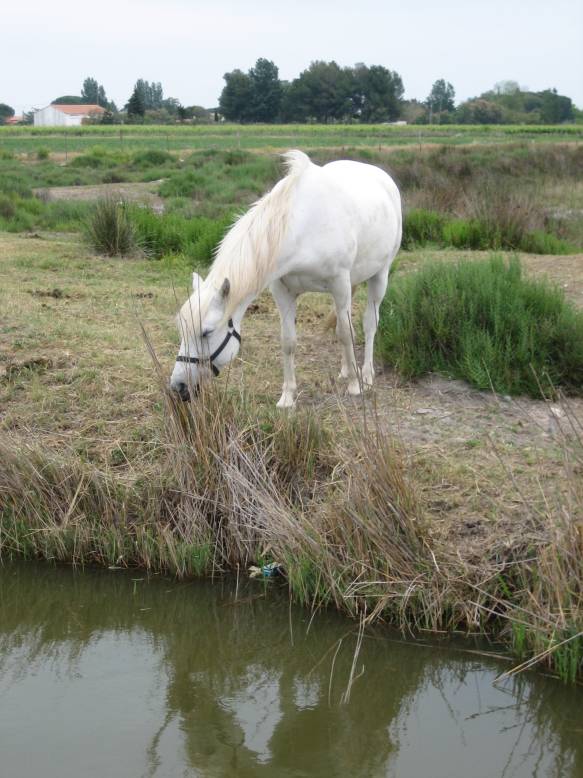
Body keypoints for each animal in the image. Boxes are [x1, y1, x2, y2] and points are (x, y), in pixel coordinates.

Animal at [169, 149, 402, 410]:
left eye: (206, 333)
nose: (178, 386)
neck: (302, 227)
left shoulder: (340, 284)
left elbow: (345, 333)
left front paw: (354, 385)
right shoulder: (283, 291)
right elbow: (289, 341)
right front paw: (288, 396)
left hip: (379, 275)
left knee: (369, 324)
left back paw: (366, 375)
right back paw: (345, 370)